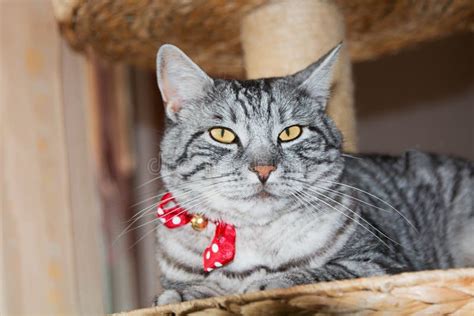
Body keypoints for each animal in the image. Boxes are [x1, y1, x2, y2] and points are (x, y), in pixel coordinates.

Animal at [154, 43, 472, 304]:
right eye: (222, 134)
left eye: (291, 132)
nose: (264, 168)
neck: (255, 241)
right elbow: (184, 288)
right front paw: (181, 295)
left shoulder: (382, 263)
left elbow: (317, 273)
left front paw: (269, 284)